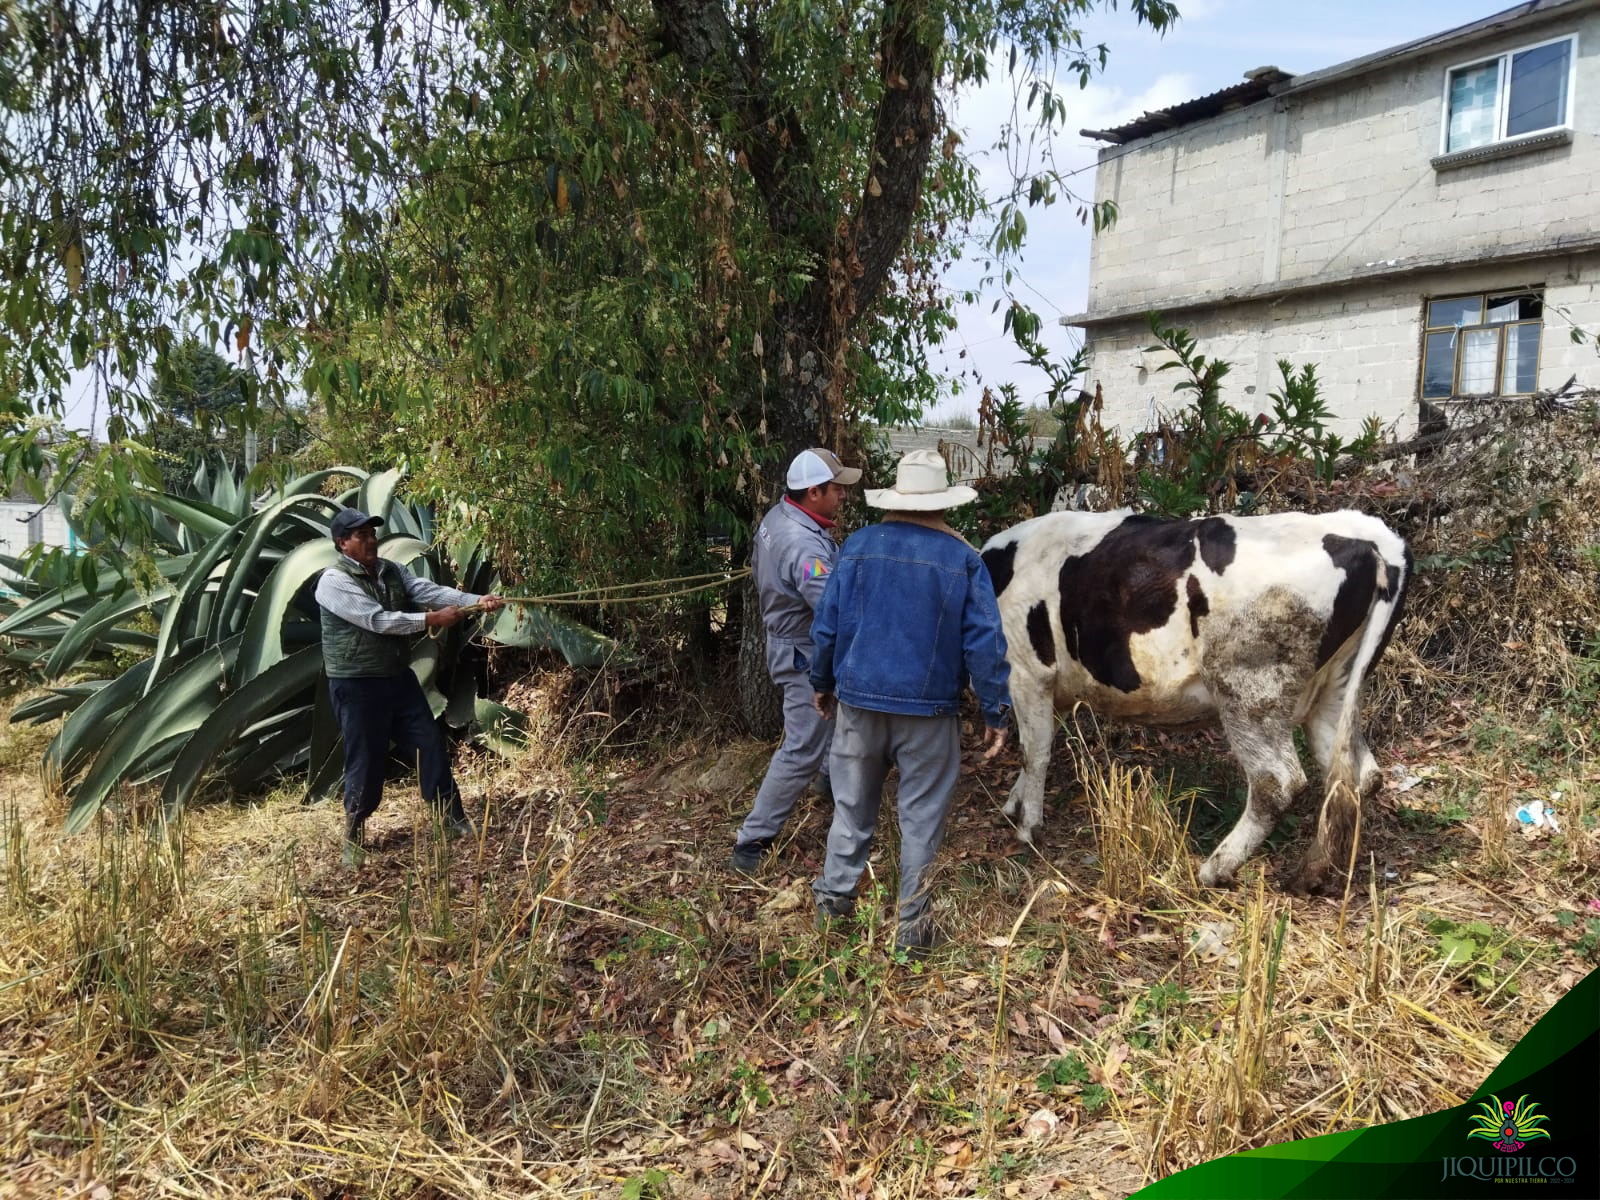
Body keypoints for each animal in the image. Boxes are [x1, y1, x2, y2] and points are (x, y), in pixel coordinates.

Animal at [972, 508, 1414, 896]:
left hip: (1249, 690)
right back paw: (1318, 871)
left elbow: (1034, 752)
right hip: (1335, 691)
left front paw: (1028, 827)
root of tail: (1366, 535)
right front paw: (1013, 804)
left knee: (1278, 781)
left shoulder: (1028, 672)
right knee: (1358, 776)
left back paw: (1214, 868)